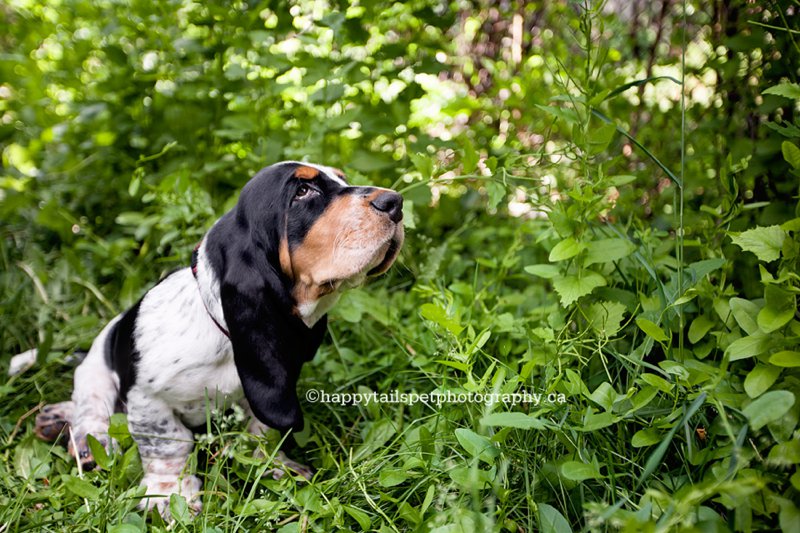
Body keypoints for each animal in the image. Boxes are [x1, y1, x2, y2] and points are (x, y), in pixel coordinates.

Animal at [33, 160, 404, 512]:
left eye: (342, 179)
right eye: (302, 191)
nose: (396, 202)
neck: (222, 336)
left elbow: (261, 430)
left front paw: (275, 467)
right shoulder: (147, 399)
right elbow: (168, 445)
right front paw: (169, 497)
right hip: (96, 368)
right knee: (92, 407)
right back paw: (85, 440)